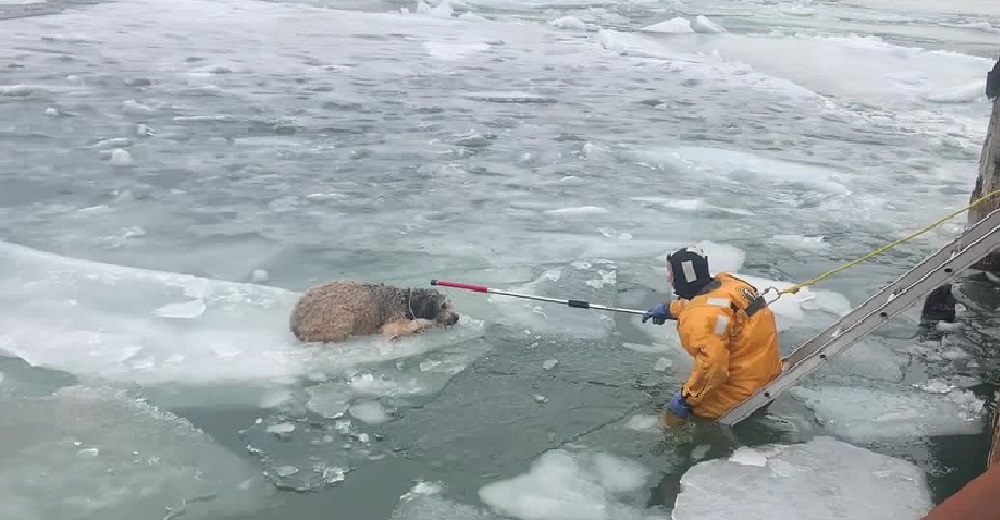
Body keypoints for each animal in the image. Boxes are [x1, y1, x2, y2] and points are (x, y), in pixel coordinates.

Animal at [290, 280, 460, 346]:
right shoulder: (393, 322)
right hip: (339, 319)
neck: (407, 300)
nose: (457, 317)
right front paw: (423, 325)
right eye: (443, 306)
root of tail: (294, 322)